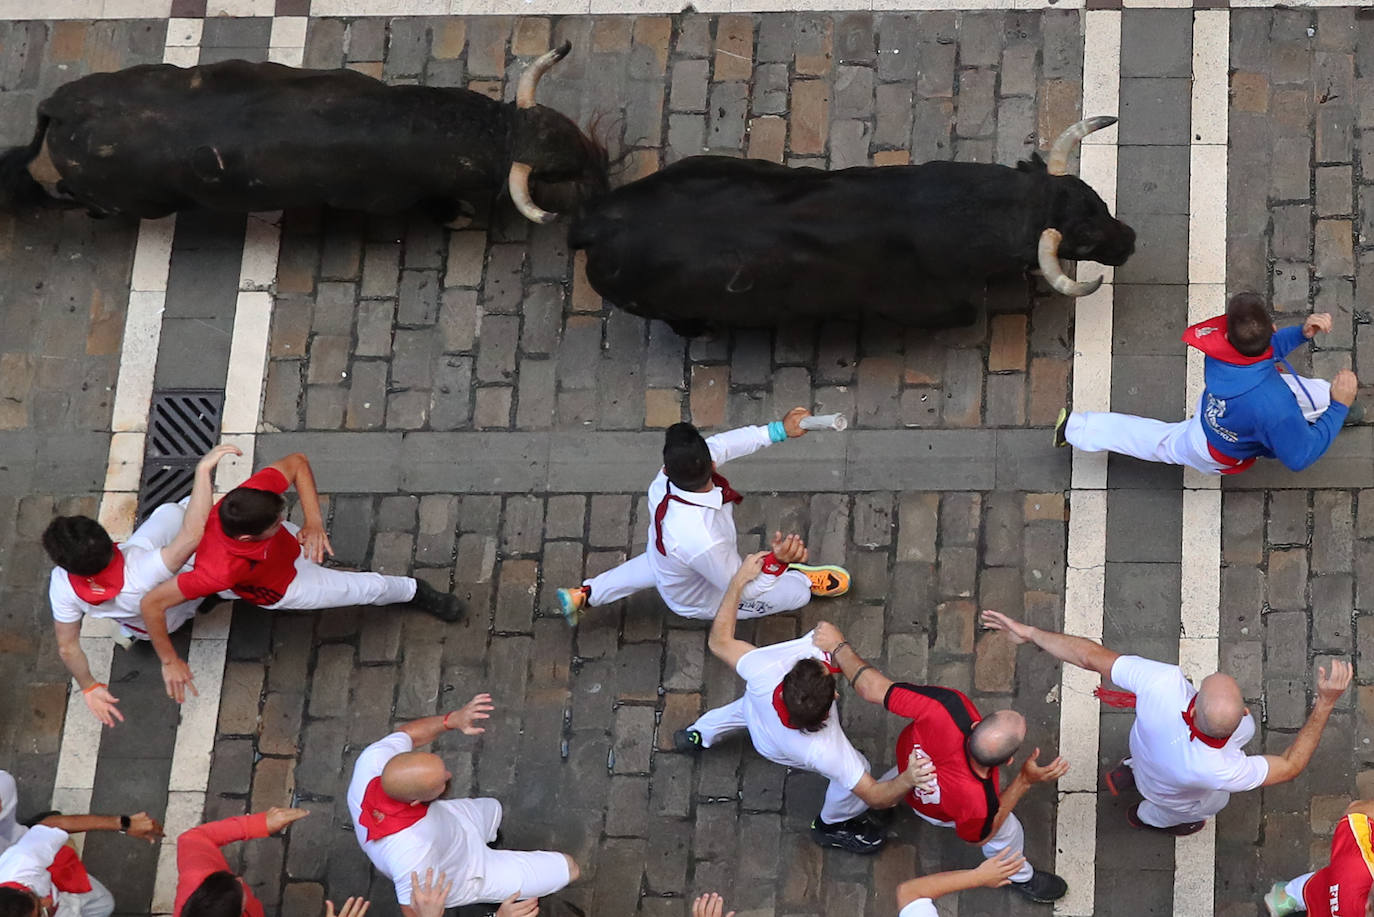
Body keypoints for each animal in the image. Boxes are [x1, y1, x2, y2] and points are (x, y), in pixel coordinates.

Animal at [0, 45, 607, 225]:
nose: (600, 165)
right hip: (134, 202)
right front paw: (456, 216)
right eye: (555, 169)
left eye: (568, 125)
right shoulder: (388, 199)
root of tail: (59, 110)